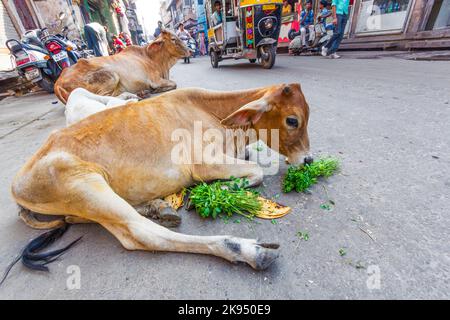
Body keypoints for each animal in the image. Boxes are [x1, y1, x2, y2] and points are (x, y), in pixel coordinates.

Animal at [12, 84, 312, 272]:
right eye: (292, 120)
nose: (308, 160)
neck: (216, 115)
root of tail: (17, 183)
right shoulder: (205, 164)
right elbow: (258, 172)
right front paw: (216, 191)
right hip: (85, 184)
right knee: (143, 234)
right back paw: (246, 250)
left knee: (78, 217)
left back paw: (158, 207)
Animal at [54, 29, 188, 103]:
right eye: (173, 39)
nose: (189, 51)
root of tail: (58, 83)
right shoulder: (155, 80)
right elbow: (173, 84)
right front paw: (156, 90)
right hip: (111, 76)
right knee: (106, 98)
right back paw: (132, 95)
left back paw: (141, 93)